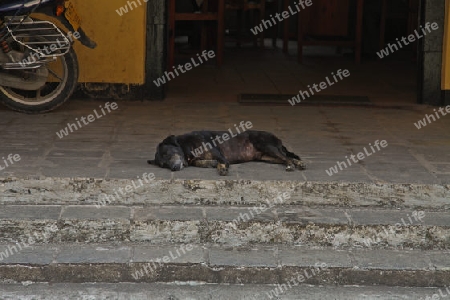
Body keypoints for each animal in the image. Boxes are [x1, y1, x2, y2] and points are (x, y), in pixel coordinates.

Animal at [149, 129, 306, 176]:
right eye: (163, 165)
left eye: (168, 154)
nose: (174, 168)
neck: (185, 145)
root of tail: (277, 138)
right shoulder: (196, 160)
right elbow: (202, 163)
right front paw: (211, 164)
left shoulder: (221, 156)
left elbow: (222, 163)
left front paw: (221, 168)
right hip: (267, 157)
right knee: (285, 157)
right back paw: (299, 164)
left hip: (267, 146)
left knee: (287, 158)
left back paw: (291, 165)